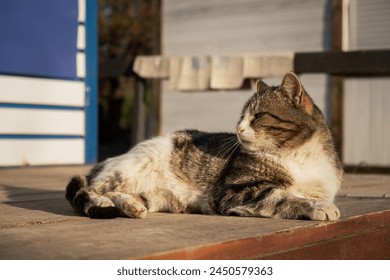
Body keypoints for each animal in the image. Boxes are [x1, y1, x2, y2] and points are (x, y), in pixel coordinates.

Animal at [65, 72, 342, 221]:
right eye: (241, 116)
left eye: (258, 116)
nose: (238, 129)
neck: (298, 156)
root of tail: (105, 161)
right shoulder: (234, 191)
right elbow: (283, 196)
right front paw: (318, 208)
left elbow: (297, 195)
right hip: (129, 169)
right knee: (92, 189)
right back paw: (102, 203)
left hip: (159, 196)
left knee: (123, 195)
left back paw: (131, 207)